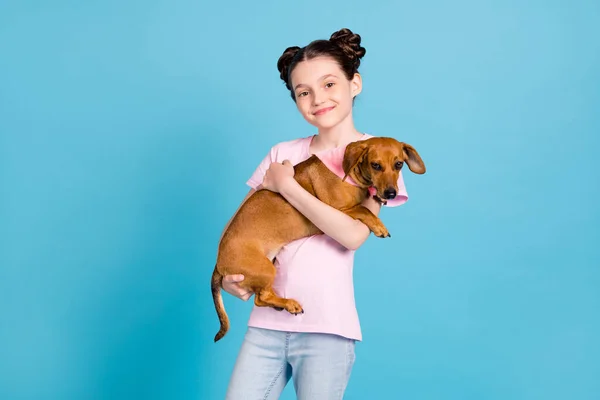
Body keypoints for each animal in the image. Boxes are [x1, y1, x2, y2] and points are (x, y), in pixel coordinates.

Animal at [211, 137, 426, 340]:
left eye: (399, 164)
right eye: (375, 165)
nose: (391, 193)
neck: (349, 173)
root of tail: (219, 263)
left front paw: (377, 197)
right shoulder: (339, 211)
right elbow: (363, 209)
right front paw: (379, 225)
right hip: (265, 268)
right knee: (261, 297)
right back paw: (288, 303)